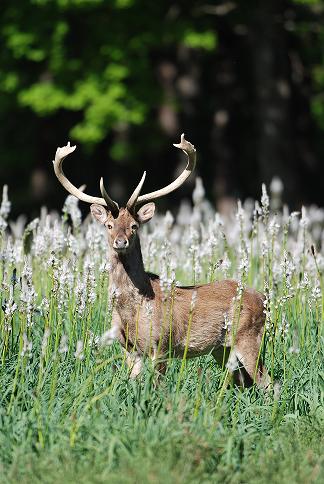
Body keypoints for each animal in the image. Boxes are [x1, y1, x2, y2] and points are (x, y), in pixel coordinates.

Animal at [52, 135, 270, 390]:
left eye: (134, 225)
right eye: (109, 225)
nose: (120, 241)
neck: (133, 308)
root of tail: (264, 298)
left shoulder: (162, 343)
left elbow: (157, 387)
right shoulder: (129, 348)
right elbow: (134, 383)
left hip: (248, 335)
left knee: (268, 382)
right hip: (222, 347)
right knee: (242, 381)